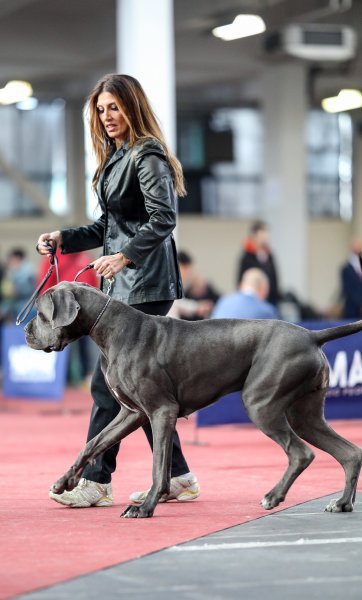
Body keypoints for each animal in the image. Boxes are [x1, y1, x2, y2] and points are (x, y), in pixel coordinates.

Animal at [24, 284, 360, 516]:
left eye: (40, 314)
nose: (26, 331)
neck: (109, 328)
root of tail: (312, 335)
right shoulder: (131, 413)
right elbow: (94, 443)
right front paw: (64, 483)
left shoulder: (162, 411)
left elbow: (158, 466)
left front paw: (146, 508)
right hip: (306, 415)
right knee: (349, 453)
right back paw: (342, 502)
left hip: (261, 404)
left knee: (301, 453)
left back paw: (273, 496)